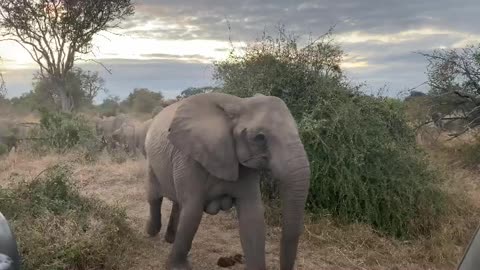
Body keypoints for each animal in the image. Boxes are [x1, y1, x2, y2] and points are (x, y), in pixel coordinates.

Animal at [143, 92, 312, 268]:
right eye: (259, 138)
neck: (239, 104)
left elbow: (253, 217)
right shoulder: (189, 158)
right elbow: (192, 211)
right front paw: (178, 268)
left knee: (177, 202)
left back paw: (170, 239)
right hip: (151, 160)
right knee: (155, 198)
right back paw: (151, 231)